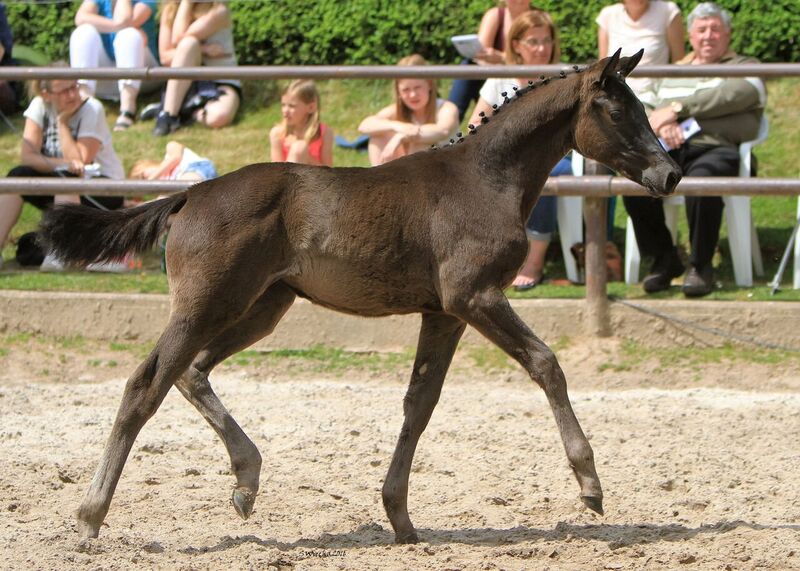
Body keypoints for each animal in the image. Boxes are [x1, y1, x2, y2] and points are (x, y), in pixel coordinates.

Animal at [39, 48, 680, 540]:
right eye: (617, 110)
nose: (670, 174)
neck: (484, 179)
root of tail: (190, 194)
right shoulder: (476, 297)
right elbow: (547, 364)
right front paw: (590, 485)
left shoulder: (443, 313)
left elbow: (420, 403)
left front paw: (400, 517)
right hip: (206, 304)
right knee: (145, 385)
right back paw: (91, 516)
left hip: (263, 306)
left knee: (192, 371)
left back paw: (246, 482)